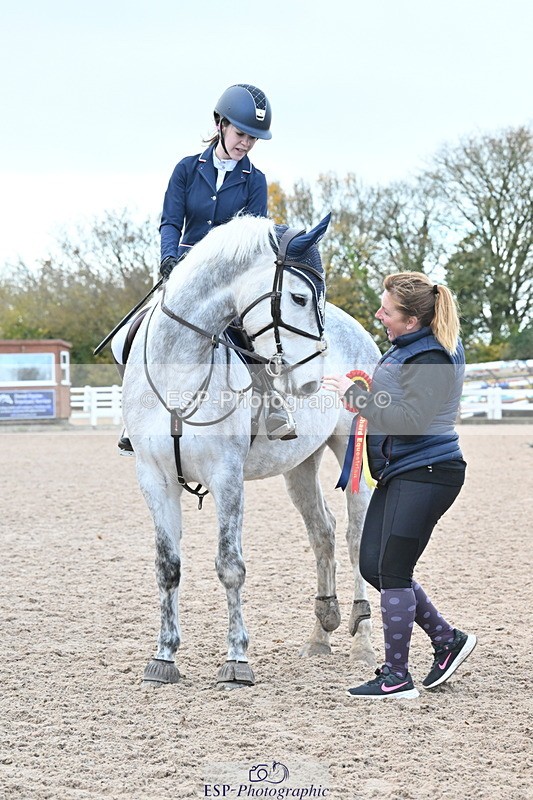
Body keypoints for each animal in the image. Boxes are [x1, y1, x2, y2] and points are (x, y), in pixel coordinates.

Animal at [121, 213, 381, 688]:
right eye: (299, 297)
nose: (312, 381)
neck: (180, 367)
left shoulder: (226, 476)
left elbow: (230, 566)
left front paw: (237, 659)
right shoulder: (154, 477)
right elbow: (168, 567)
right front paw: (164, 657)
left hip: (350, 449)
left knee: (355, 537)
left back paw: (362, 639)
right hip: (299, 467)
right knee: (323, 532)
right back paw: (321, 633)